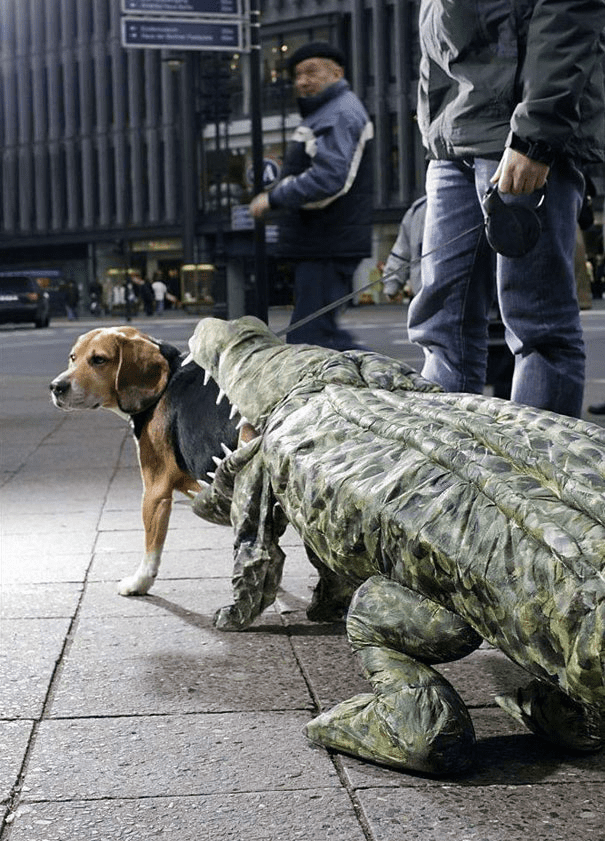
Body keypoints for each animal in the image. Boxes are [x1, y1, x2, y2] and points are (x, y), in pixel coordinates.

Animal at [49, 324, 242, 592]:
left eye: (99, 360)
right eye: (73, 357)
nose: (56, 387)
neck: (166, 382)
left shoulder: (155, 491)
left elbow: (152, 547)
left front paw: (139, 583)